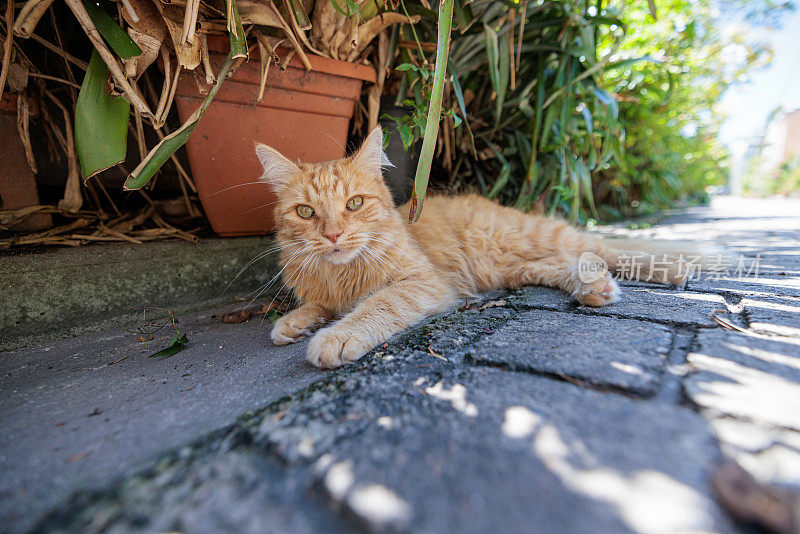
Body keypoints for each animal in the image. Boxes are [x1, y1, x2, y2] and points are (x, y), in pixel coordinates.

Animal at [255, 126, 688, 368]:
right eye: (306, 212)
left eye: (355, 204)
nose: (332, 236)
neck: (341, 273)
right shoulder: (327, 293)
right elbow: (318, 305)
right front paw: (294, 323)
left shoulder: (424, 283)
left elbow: (375, 306)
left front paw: (335, 337)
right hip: (512, 268)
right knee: (574, 261)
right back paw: (595, 286)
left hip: (533, 237)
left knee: (603, 247)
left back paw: (676, 268)